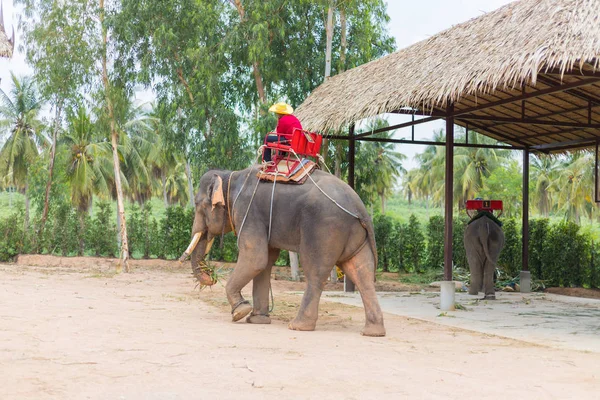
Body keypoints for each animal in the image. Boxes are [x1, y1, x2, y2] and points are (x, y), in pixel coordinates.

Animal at [183, 164, 386, 336]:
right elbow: (265, 261)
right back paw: (373, 332)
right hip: (354, 236)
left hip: (324, 229)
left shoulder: (248, 212)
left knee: (315, 271)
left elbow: (255, 258)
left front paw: (240, 312)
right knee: (362, 273)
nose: (211, 275)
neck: (230, 176)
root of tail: (359, 208)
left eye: (198, 205)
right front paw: (256, 320)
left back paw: (298, 326)